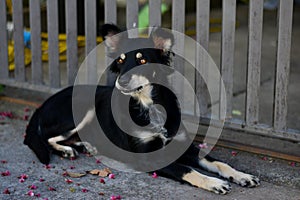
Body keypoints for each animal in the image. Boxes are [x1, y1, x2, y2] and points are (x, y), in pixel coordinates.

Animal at [23, 24, 258, 195]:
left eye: (142, 60)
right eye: (120, 60)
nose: (122, 80)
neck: (149, 106)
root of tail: (45, 103)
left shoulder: (182, 146)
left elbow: (218, 162)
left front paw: (241, 175)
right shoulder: (149, 158)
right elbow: (187, 169)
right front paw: (212, 182)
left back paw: (84, 145)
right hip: (81, 109)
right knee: (45, 138)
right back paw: (66, 149)